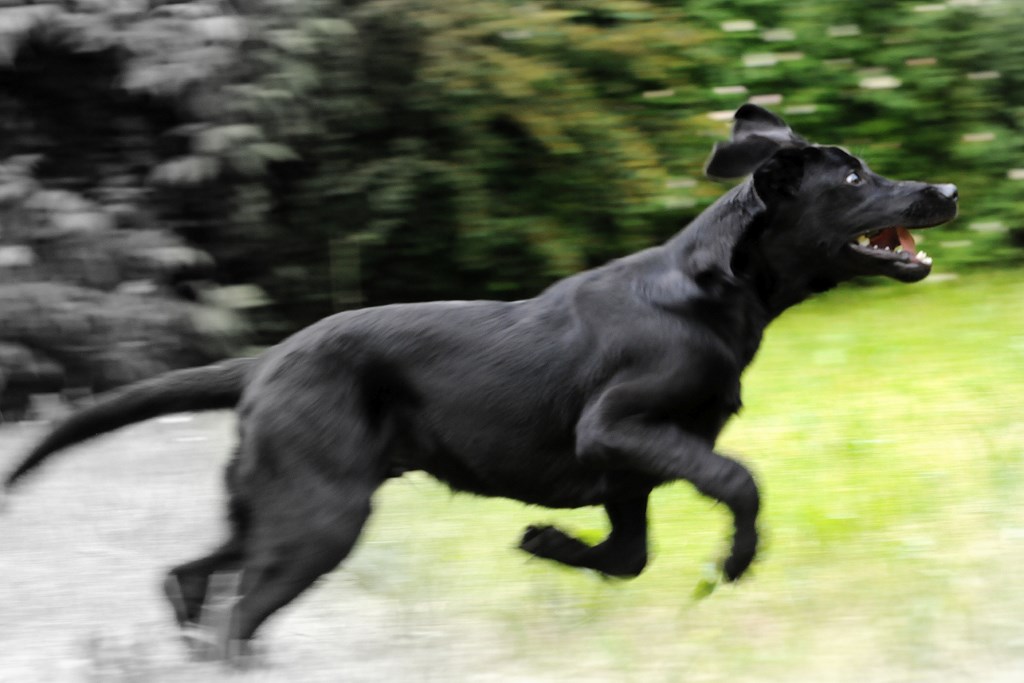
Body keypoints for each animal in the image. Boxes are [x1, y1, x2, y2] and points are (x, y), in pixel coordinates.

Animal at [4, 105, 954, 655]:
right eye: (855, 177)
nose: (944, 186)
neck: (712, 292)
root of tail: (266, 360)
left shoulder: (629, 470)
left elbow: (629, 555)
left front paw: (545, 542)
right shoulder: (620, 430)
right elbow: (738, 481)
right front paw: (736, 560)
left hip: (274, 504)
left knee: (191, 576)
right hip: (319, 514)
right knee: (234, 612)